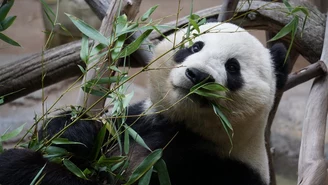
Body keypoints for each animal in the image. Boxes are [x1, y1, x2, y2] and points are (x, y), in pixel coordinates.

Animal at [0, 22, 288, 185]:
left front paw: (24, 167)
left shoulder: (222, 168)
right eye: (195, 46)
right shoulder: (137, 123)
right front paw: (74, 132)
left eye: (232, 67)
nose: (198, 75)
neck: (184, 127)